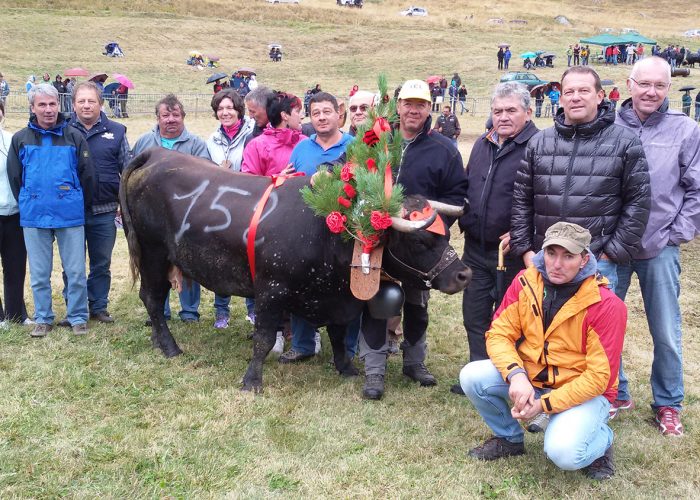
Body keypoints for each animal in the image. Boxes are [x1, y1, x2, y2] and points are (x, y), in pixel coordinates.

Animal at [121, 148, 470, 390]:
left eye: (447, 234)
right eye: (421, 241)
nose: (463, 275)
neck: (325, 232)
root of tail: (158, 152)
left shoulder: (336, 299)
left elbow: (339, 335)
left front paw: (346, 368)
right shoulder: (270, 290)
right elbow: (263, 338)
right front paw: (252, 381)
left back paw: (158, 340)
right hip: (153, 254)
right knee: (152, 299)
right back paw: (170, 347)